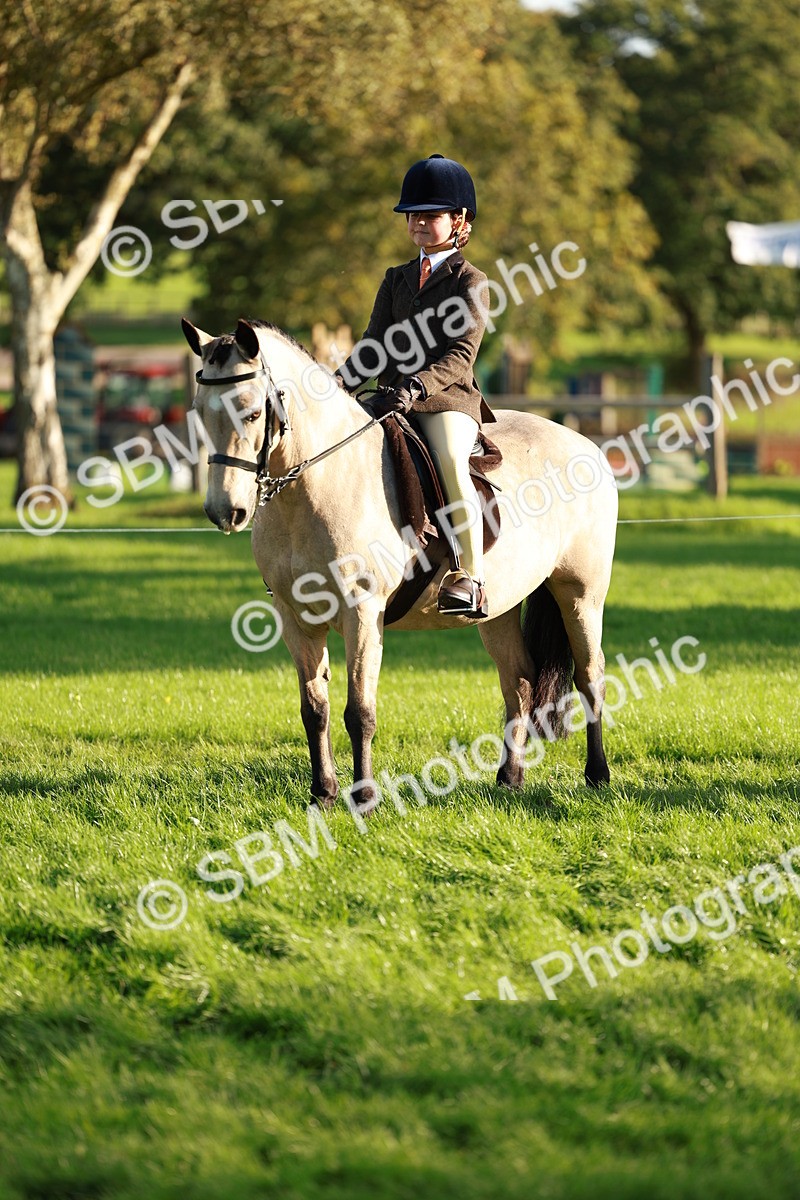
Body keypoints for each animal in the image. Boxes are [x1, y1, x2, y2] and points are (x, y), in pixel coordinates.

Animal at [182, 316, 618, 814]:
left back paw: (597, 775)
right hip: (499, 608)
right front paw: (323, 794)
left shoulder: (362, 613)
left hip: (581, 595)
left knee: (590, 678)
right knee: (520, 681)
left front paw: (364, 797)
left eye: (253, 413)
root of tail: (585, 443)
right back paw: (510, 778)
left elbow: (359, 711)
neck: (316, 485)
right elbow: (315, 710)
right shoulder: (296, 620)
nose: (226, 511)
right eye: (199, 412)